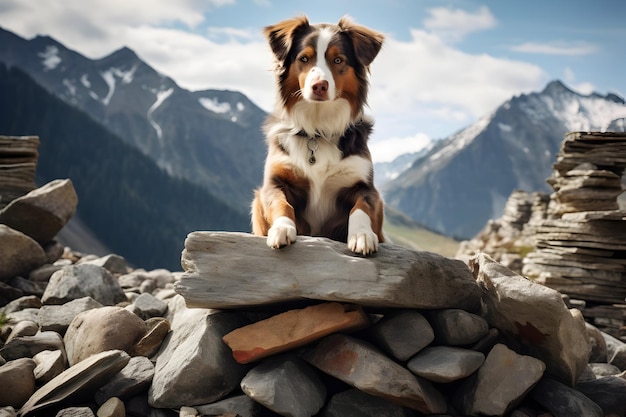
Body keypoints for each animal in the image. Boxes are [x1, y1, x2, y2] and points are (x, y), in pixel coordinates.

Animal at [251, 16, 382, 255]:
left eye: (338, 60)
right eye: (304, 58)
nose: (319, 86)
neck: (318, 128)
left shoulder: (366, 187)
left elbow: (361, 207)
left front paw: (362, 235)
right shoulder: (273, 182)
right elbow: (281, 202)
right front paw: (282, 228)